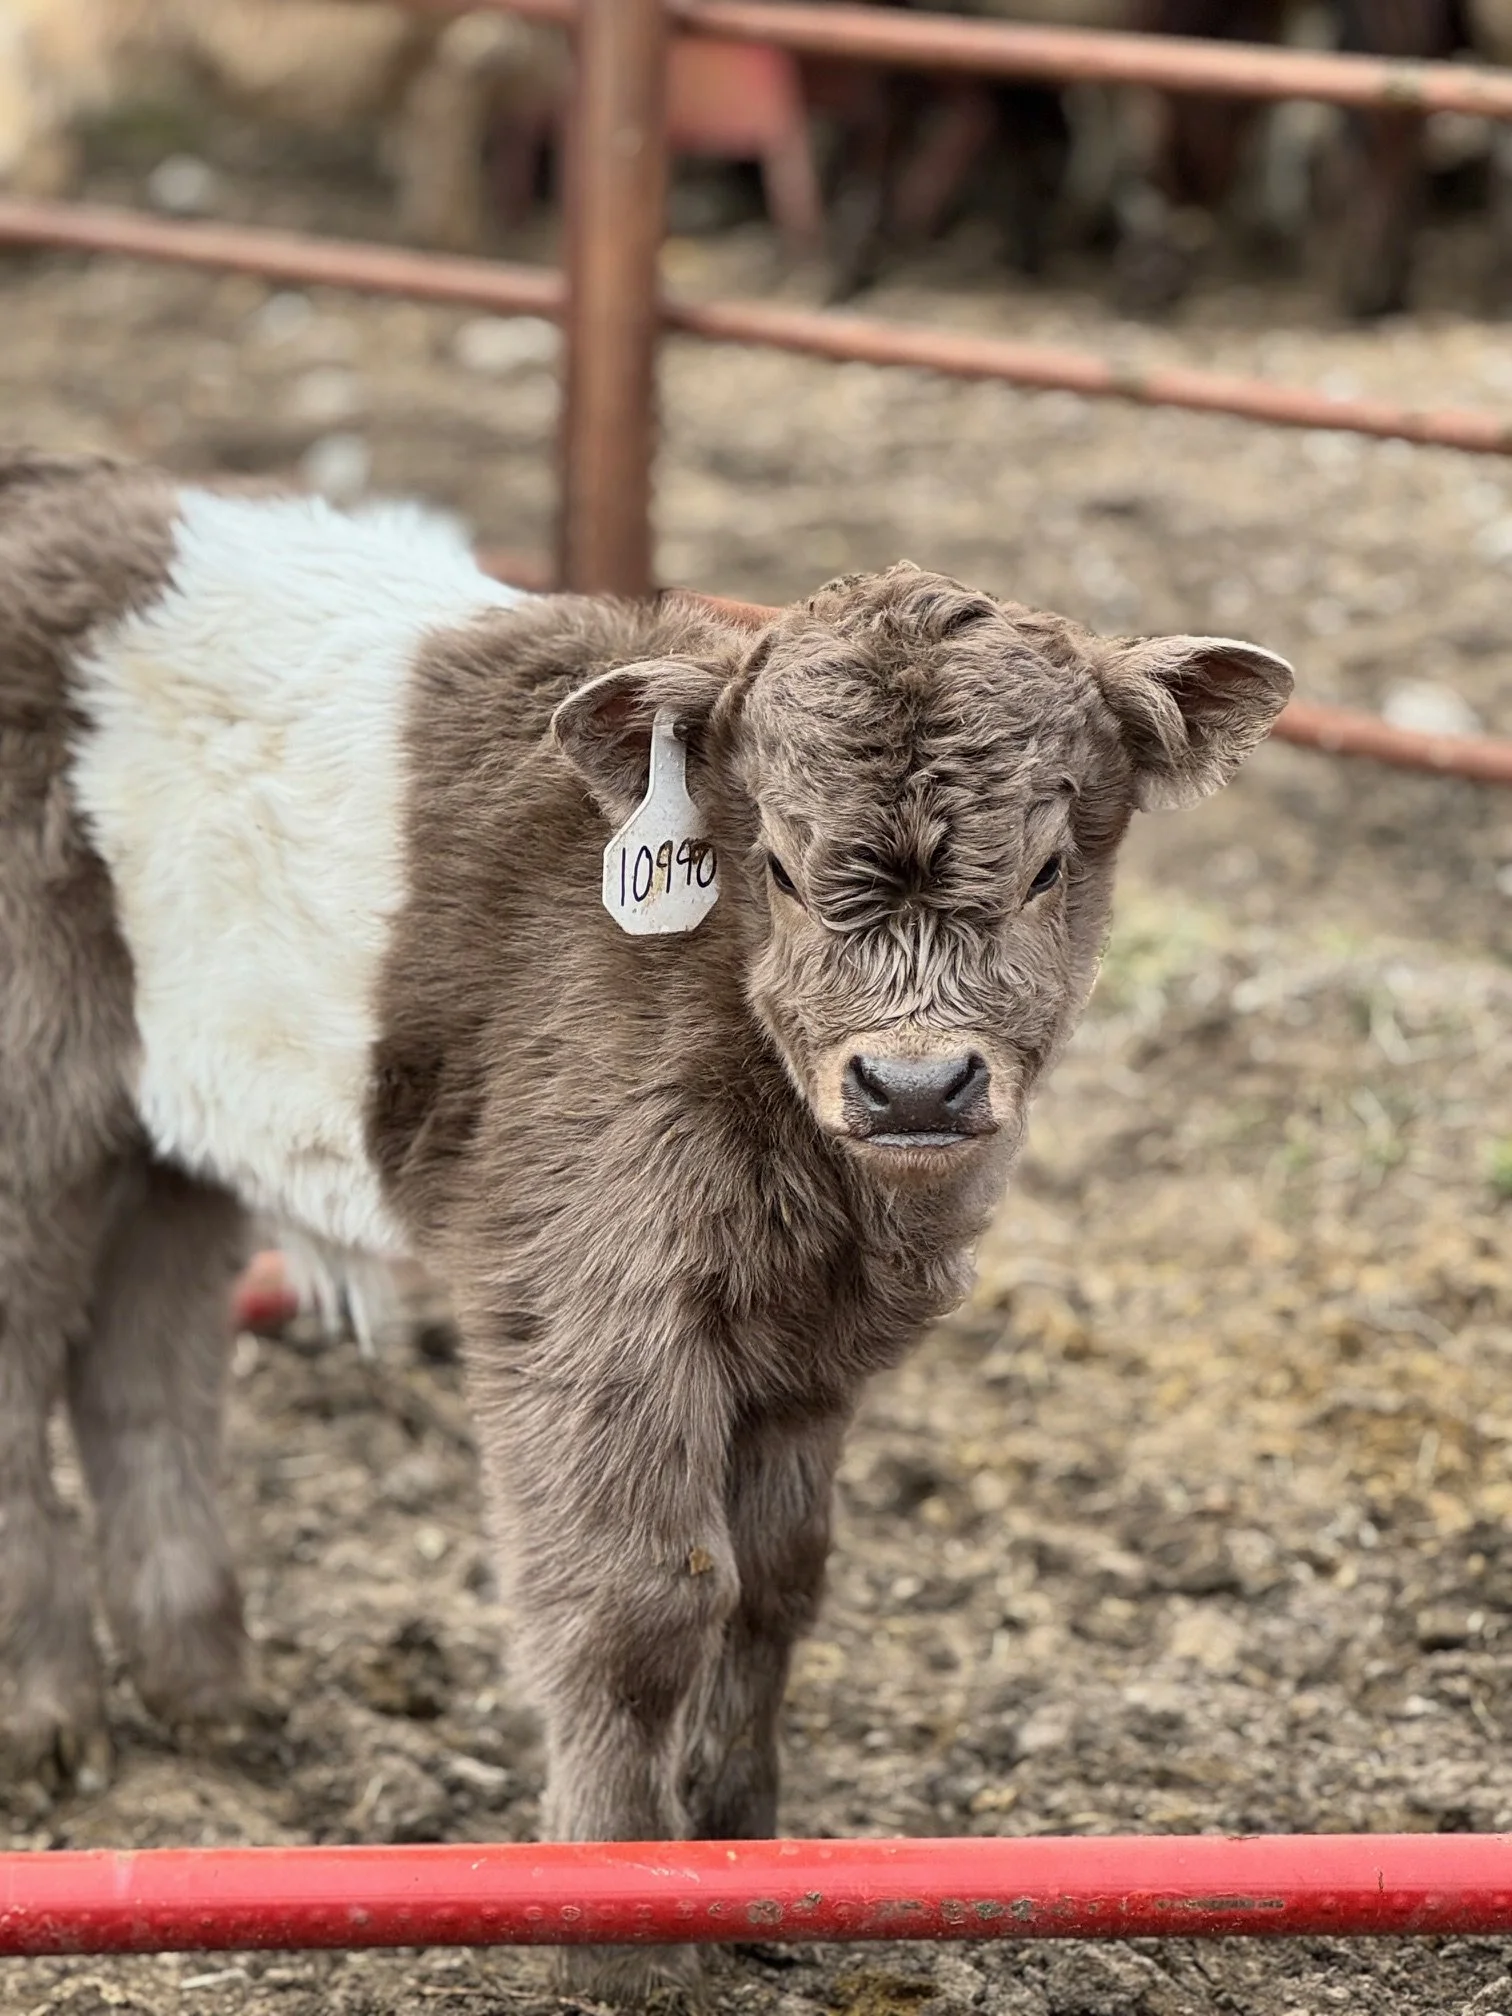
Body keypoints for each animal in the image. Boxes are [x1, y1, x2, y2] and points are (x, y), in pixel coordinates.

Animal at [0, 450, 1292, 2001]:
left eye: (1047, 869)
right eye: (779, 866)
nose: (916, 1082)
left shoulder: (811, 1342)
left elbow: (776, 1587)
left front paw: (745, 1875)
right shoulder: (591, 1296)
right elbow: (646, 1597)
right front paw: (617, 1925)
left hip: (171, 1127)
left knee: (140, 1362)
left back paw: (206, 1694)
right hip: (31, 1092)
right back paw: (49, 1721)